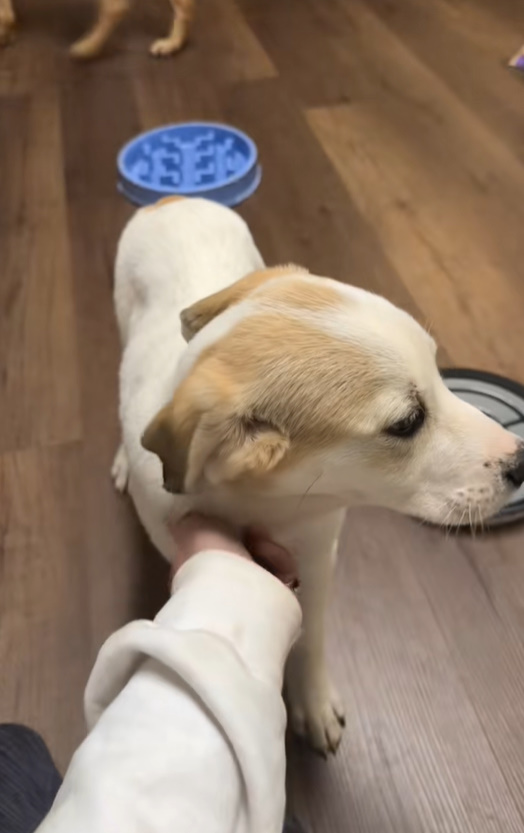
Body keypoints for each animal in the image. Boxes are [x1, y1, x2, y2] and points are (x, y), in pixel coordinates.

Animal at [113, 197, 524, 752]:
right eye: (407, 422)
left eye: (441, 376)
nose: (521, 462)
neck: (276, 508)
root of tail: (172, 199)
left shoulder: (319, 555)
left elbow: (311, 636)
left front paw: (312, 701)